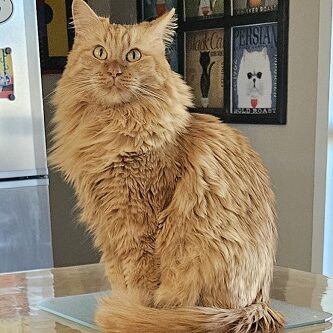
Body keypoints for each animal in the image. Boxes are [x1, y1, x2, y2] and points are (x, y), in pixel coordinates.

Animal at [50, 1, 284, 330]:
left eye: (132, 55)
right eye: (99, 52)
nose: (114, 71)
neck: (112, 131)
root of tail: (260, 304)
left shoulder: (141, 223)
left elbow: (140, 285)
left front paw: (133, 312)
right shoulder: (108, 225)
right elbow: (119, 277)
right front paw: (124, 304)